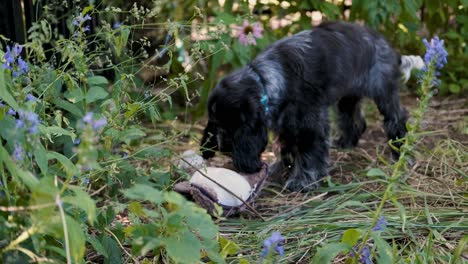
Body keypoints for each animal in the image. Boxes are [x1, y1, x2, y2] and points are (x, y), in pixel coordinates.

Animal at [199, 20, 422, 190]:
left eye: (228, 127)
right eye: (216, 125)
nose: (222, 149)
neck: (266, 79)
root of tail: (388, 46)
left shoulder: (309, 123)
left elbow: (308, 152)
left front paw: (301, 180)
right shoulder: (287, 122)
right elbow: (288, 147)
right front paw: (282, 168)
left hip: (383, 93)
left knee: (396, 119)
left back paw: (399, 154)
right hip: (348, 98)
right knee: (354, 120)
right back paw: (345, 143)